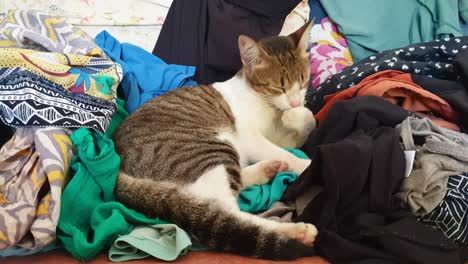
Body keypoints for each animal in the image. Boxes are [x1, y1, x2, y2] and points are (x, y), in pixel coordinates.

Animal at [113, 21, 318, 260]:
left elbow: (307, 120)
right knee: (226, 213)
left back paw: (267, 169)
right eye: (279, 87)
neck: (266, 103)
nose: (294, 102)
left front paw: (295, 115)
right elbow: (284, 151)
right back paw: (296, 231)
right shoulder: (250, 137)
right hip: (211, 148)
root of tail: (119, 166)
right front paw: (308, 164)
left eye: (303, 81)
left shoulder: (281, 136)